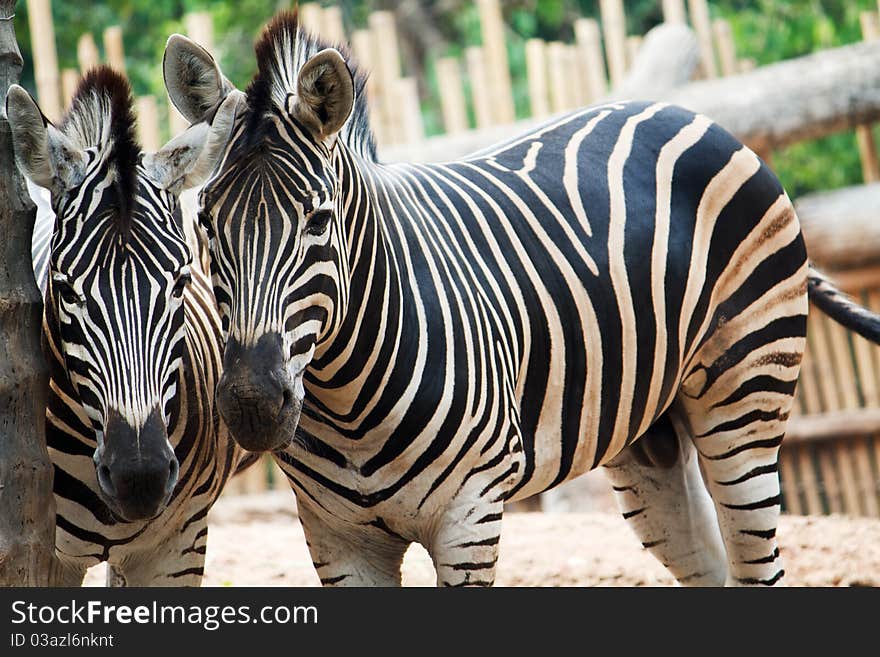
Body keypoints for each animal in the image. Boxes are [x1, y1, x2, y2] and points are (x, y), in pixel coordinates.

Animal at [163, 11, 880, 584]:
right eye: (206, 224)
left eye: (317, 221)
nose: (253, 404)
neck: (347, 398)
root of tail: (692, 115)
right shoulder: (336, 535)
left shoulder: (470, 513)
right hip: (649, 429)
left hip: (745, 399)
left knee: (758, 560)